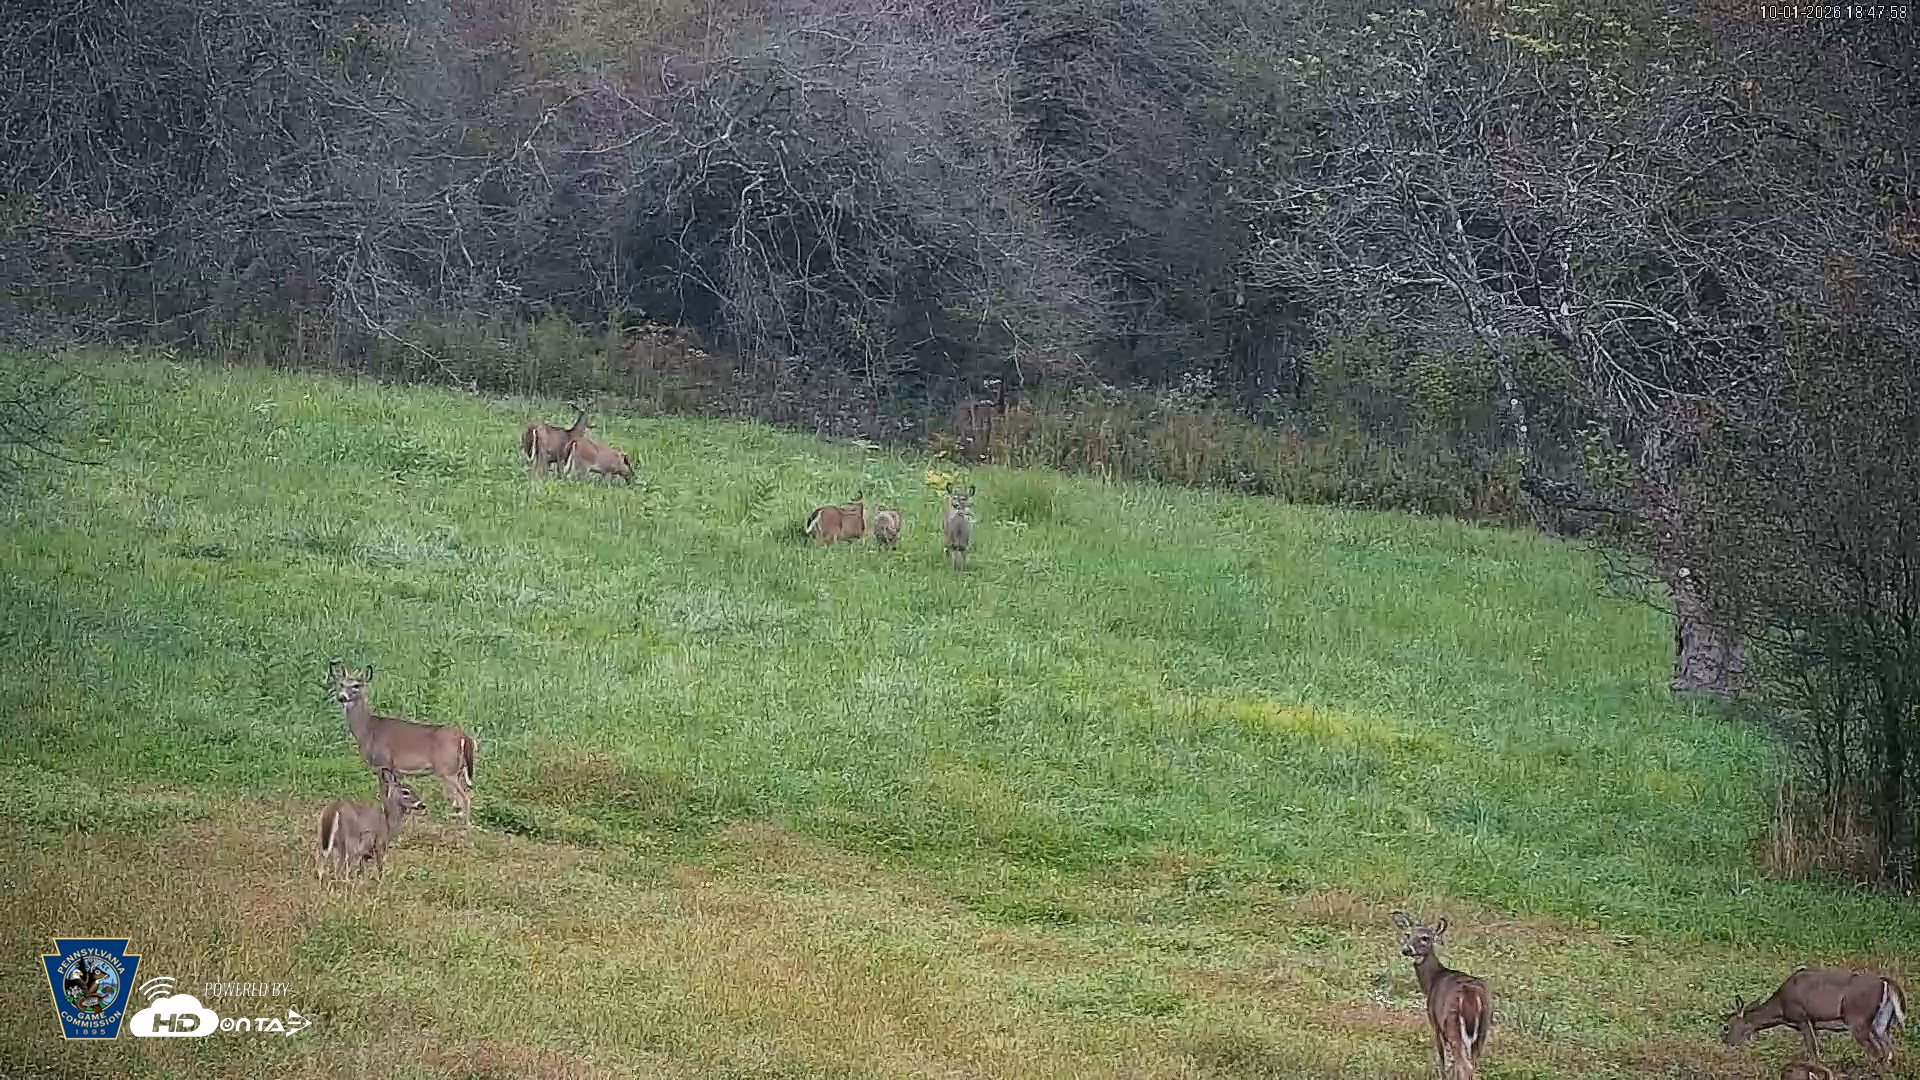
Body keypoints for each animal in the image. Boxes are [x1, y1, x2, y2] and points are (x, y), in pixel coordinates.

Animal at [329, 661, 476, 825]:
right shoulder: (394, 770)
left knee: (465, 798)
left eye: (356, 685)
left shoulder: (382, 763)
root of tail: (463, 736)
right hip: (458, 770)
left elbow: (384, 796)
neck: (367, 729)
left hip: (447, 770)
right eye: (341, 684)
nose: (341, 697)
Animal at [1391, 911, 1493, 1080]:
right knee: (1472, 1064)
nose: (1407, 950)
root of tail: (1471, 995)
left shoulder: (1435, 1023)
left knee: (1465, 1065)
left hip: (1452, 1024)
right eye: (1407, 934)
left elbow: (1443, 1058)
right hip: (1483, 1029)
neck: (1432, 981)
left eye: (1425, 937)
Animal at [1724, 967, 1908, 1070]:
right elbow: (1817, 1048)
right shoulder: (1813, 1022)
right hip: (1881, 1022)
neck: (1781, 1007)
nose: (1727, 1042)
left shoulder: (1801, 1017)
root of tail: (1885, 981)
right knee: (1890, 1052)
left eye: (1727, 1025)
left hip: (1857, 1020)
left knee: (1878, 1052)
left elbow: (1812, 1049)